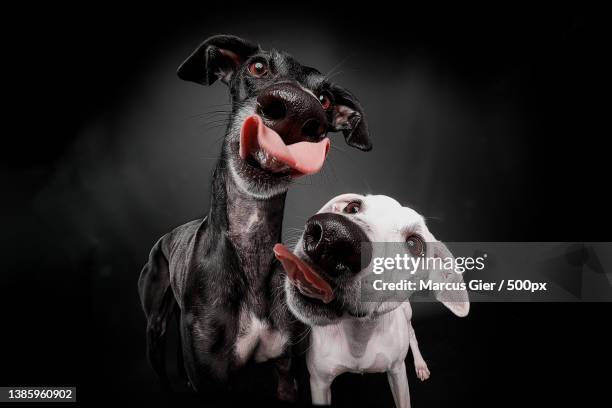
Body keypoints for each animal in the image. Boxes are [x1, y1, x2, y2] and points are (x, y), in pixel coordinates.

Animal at [137, 34, 370, 398]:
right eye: (258, 67)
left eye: (325, 100)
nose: (297, 109)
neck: (251, 245)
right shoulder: (213, 380)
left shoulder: (286, 369)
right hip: (155, 321)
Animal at [274, 194, 470, 408]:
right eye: (352, 207)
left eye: (414, 244)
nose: (335, 236)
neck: (359, 334)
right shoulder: (319, 383)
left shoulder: (397, 373)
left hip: (407, 314)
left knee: (412, 334)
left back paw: (420, 364)